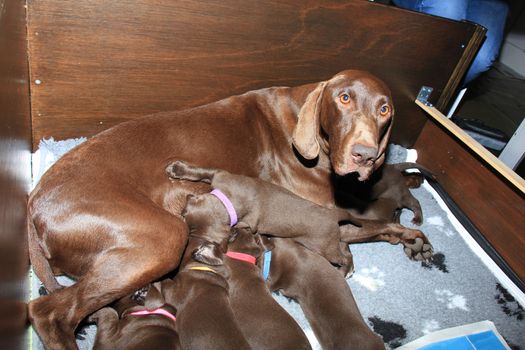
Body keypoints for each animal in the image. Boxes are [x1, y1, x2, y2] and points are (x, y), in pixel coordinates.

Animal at [167, 159, 356, 276]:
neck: (228, 203)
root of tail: (333, 214)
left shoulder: (247, 223)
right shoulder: (220, 175)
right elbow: (204, 171)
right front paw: (178, 169)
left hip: (323, 247)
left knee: (343, 257)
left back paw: (344, 271)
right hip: (330, 241)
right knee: (344, 245)